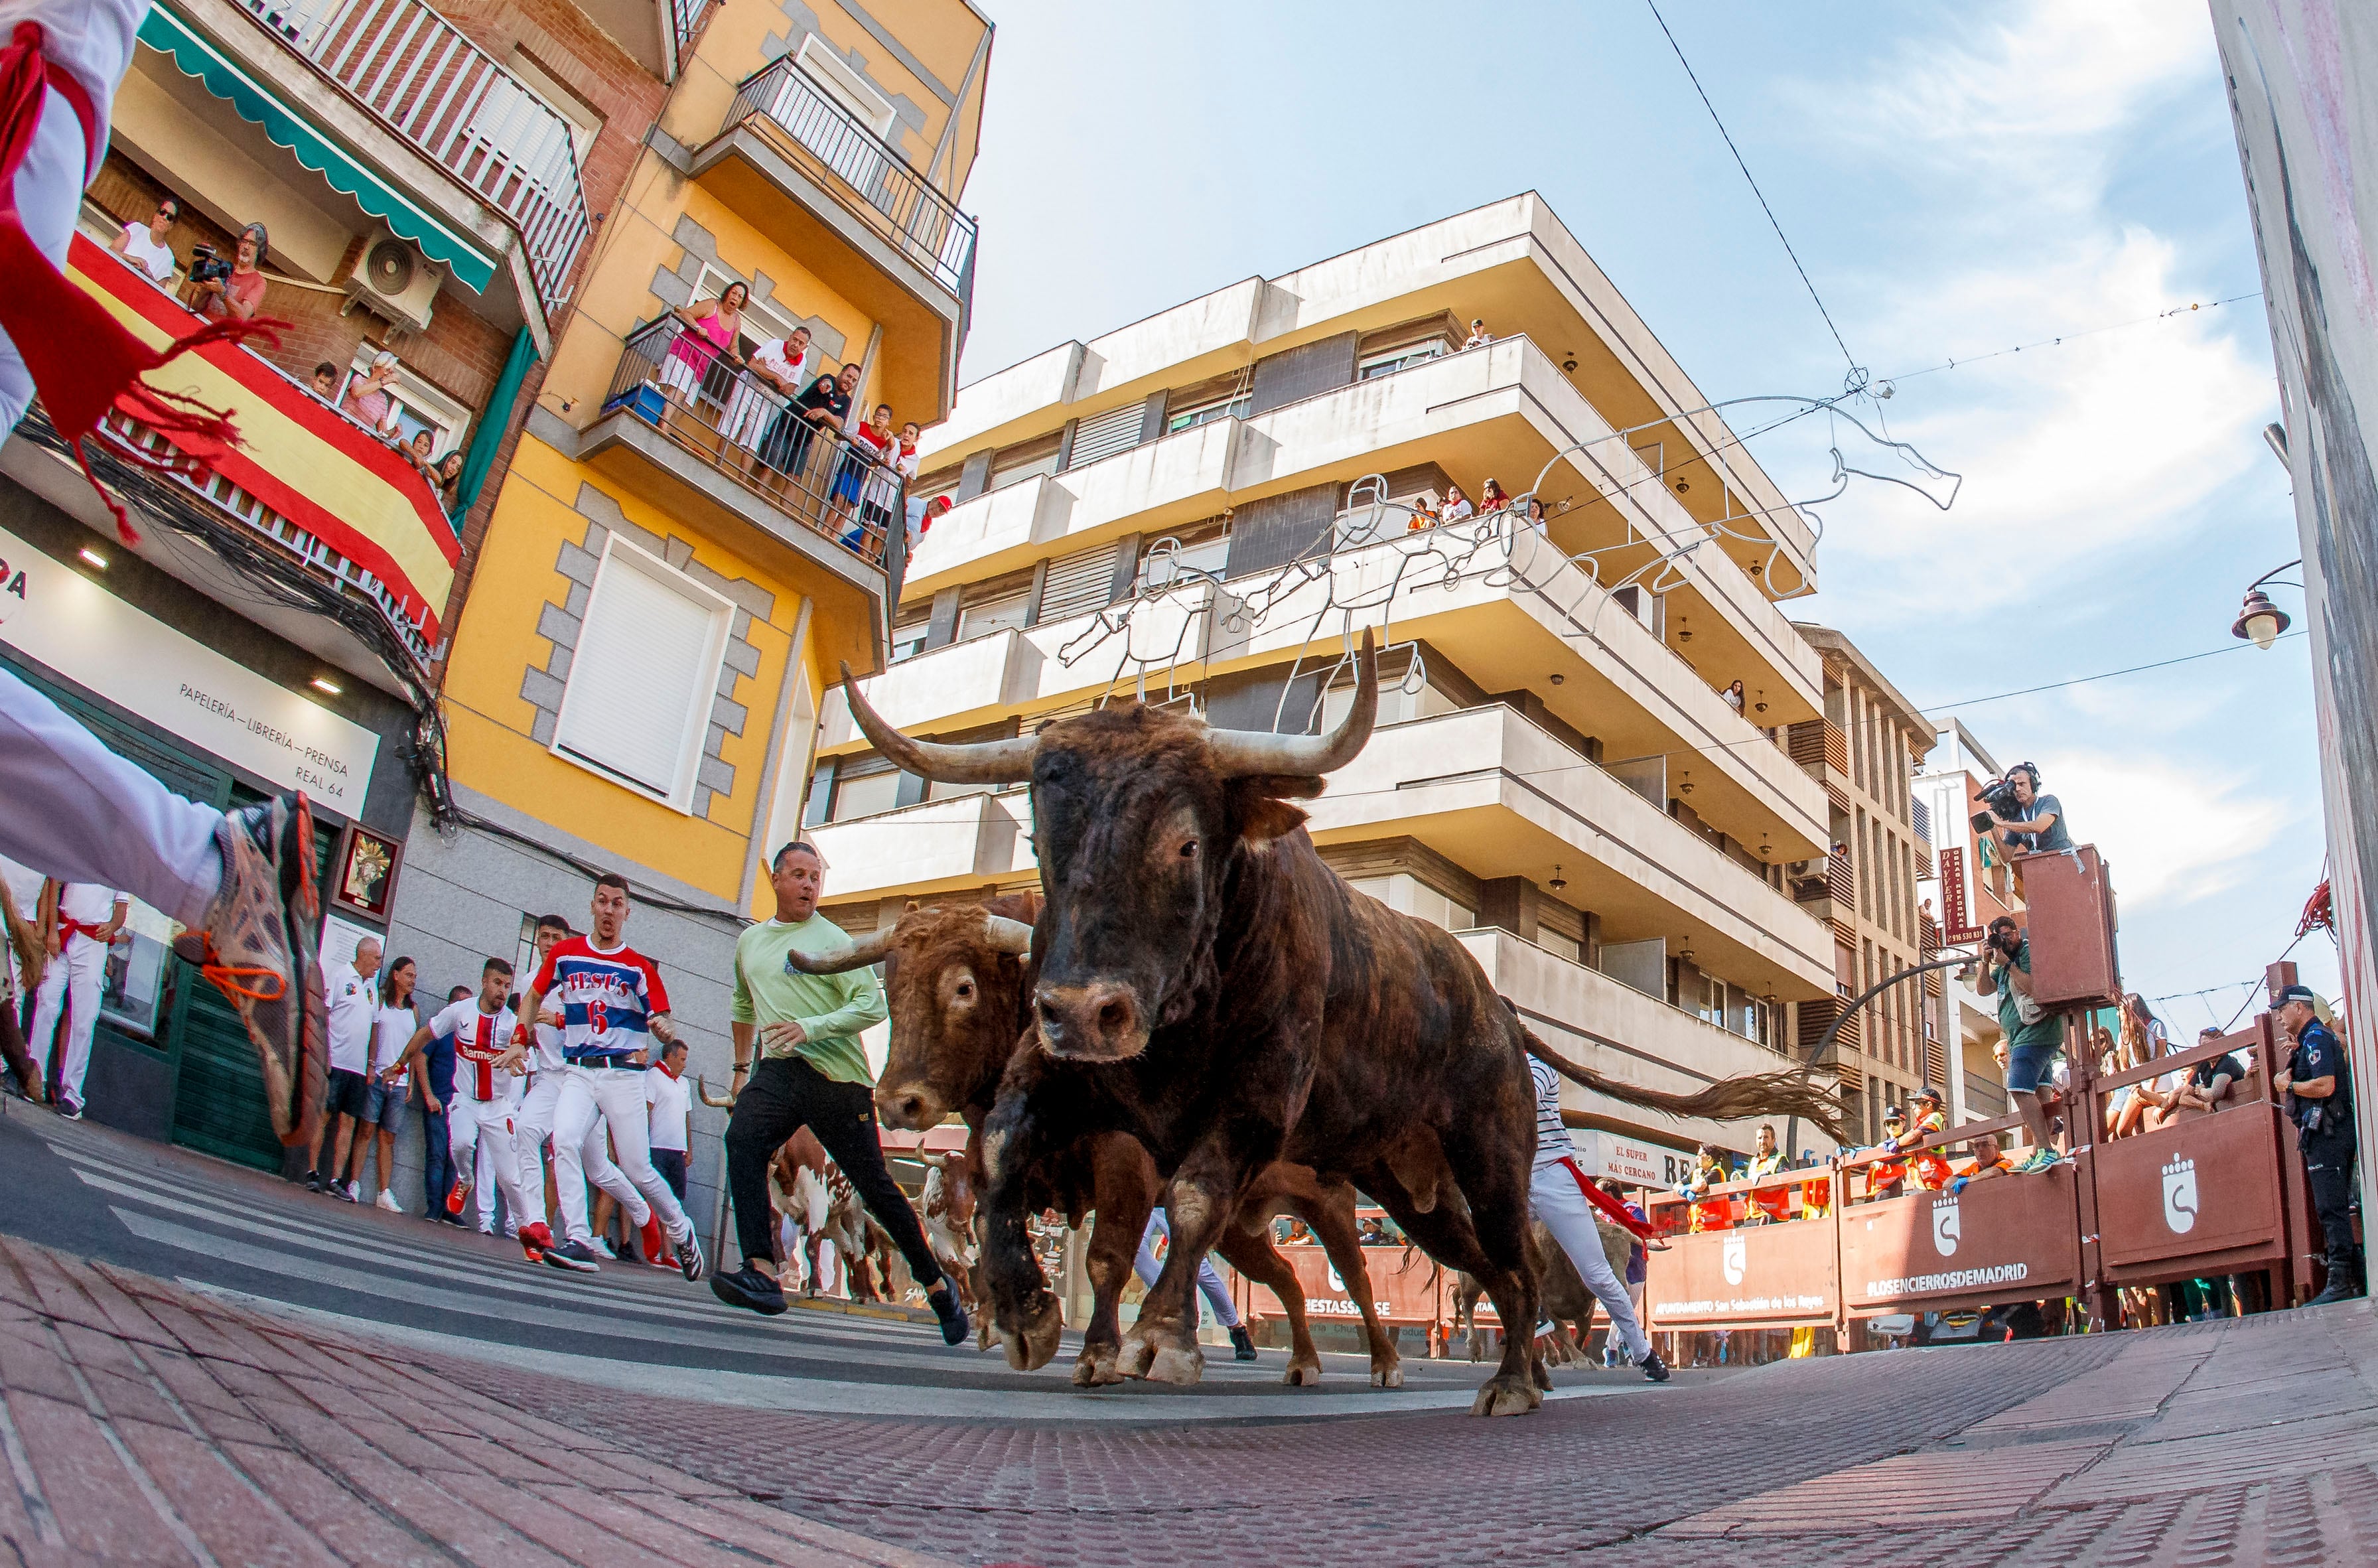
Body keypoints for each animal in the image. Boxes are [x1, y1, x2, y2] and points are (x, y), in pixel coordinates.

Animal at [789, 894, 1398, 1390]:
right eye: (891, 986)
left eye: (963, 987)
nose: (897, 1102)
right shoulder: (995, 1161)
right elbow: (989, 1225)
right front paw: (1016, 1317)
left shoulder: (1122, 1162)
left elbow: (1106, 1257)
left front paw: (1098, 1353)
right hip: (1237, 1231)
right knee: (1288, 1280)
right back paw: (1302, 1362)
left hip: (1329, 1206)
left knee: (1358, 1280)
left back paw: (1384, 1363)